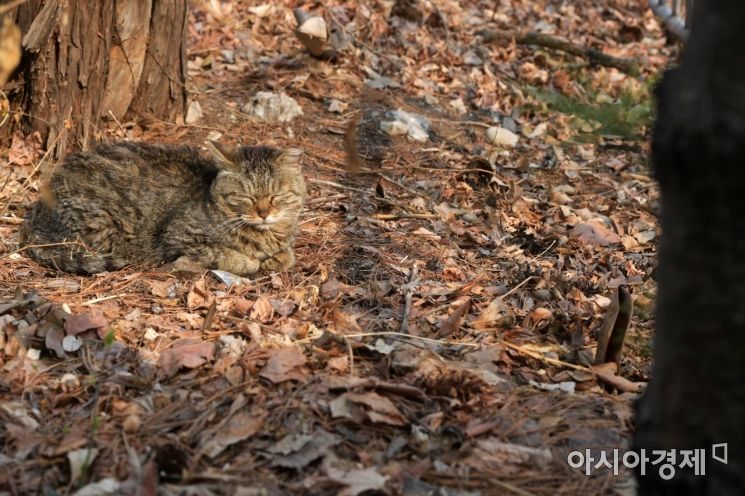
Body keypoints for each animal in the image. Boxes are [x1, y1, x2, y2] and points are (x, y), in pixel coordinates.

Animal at [19, 141, 306, 278]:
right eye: (246, 197)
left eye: (276, 196)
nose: (263, 213)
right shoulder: (178, 237)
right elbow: (221, 252)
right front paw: (248, 260)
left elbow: (288, 255)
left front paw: (276, 257)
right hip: (100, 225)